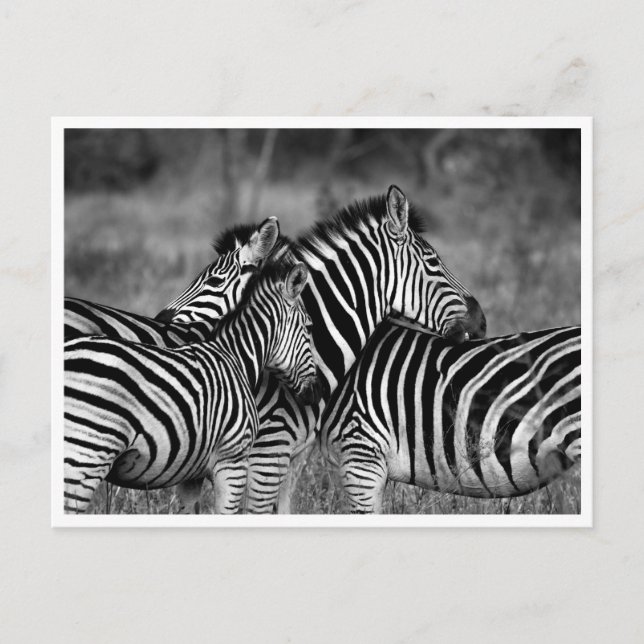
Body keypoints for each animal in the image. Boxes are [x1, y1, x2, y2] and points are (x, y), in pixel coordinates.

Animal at [64, 258, 320, 514]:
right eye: (309, 327)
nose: (316, 393)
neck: (235, 357)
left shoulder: (191, 472)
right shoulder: (233, 461)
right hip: (86, 456)